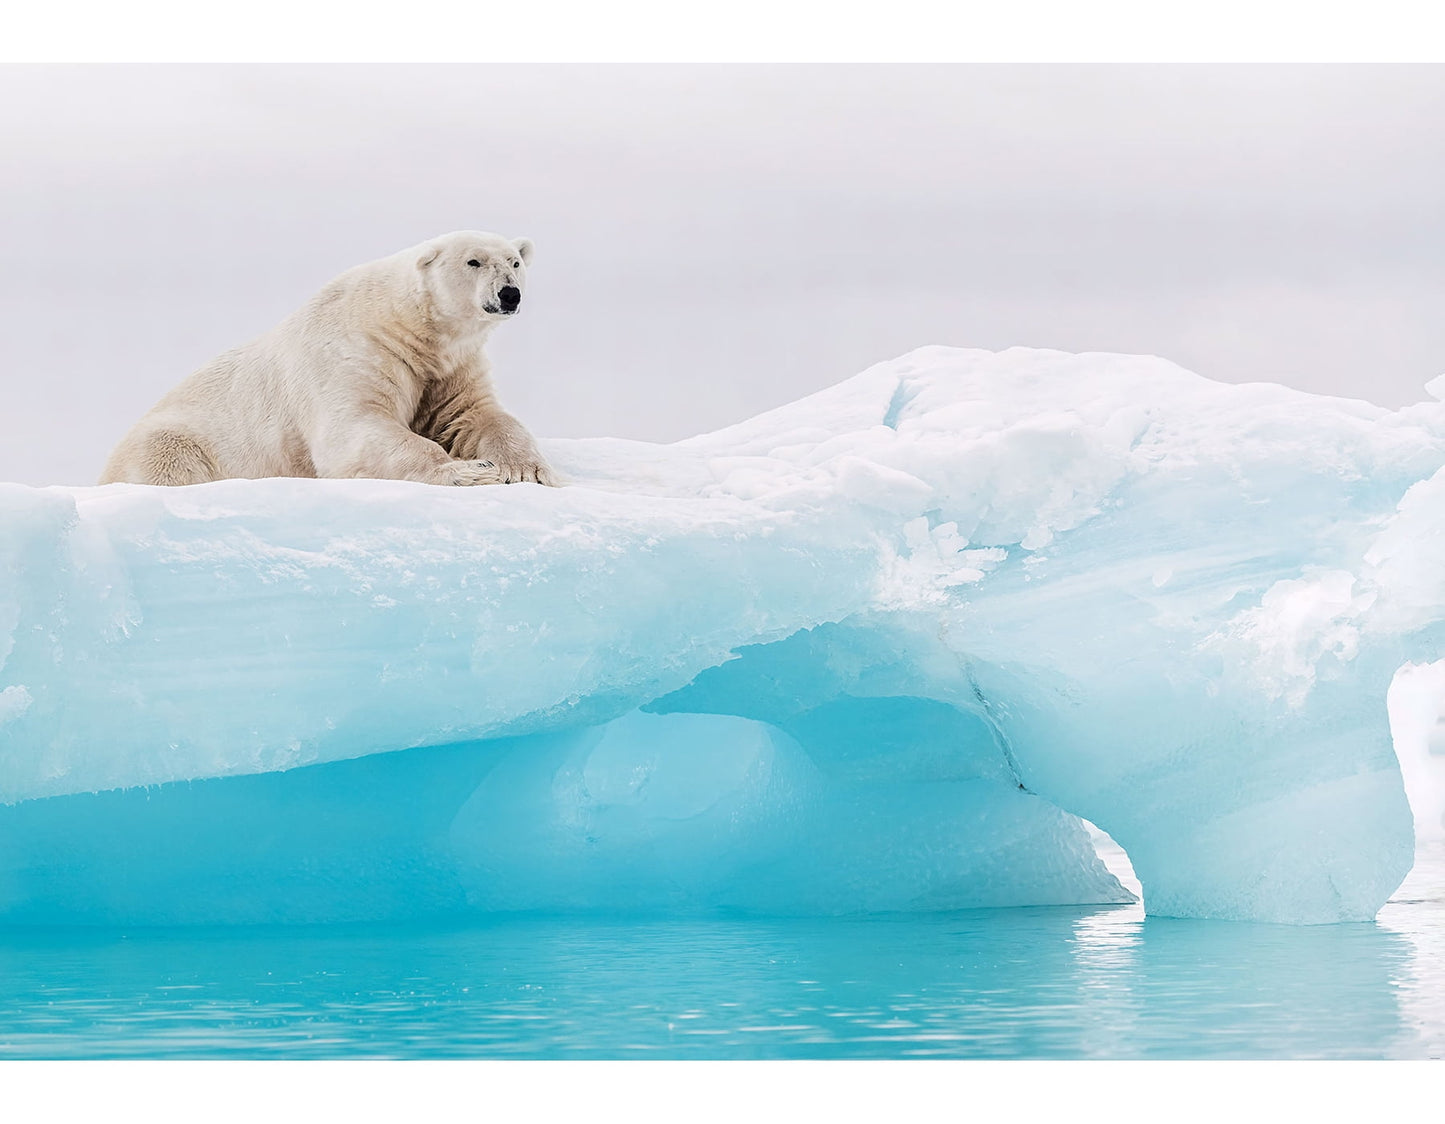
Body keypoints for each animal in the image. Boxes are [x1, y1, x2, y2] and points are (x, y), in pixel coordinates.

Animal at [99, 231, 558, 488]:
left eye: (515, 262)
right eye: (473, 261)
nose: (509, 294)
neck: (406, 326)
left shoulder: (449, 367)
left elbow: (473, 416)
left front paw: (526, 469)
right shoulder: (356, 354)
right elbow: (355, 428)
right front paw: (470, 470)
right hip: (175, 440)